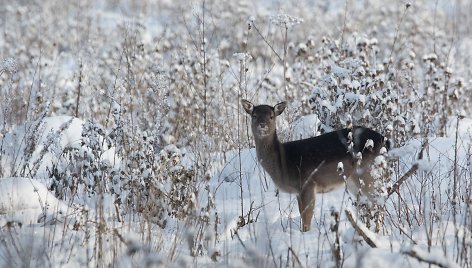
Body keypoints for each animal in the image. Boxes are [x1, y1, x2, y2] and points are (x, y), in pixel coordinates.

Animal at [242, 99, 390, 231]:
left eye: (271, 116)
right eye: (254, 115)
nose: (262, 125)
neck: (283, 161)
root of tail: (385, 141)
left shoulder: (307, 183)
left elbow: (306, 216)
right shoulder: (299, 190)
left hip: (368, 172)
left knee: (379, 201)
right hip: (354, 181)